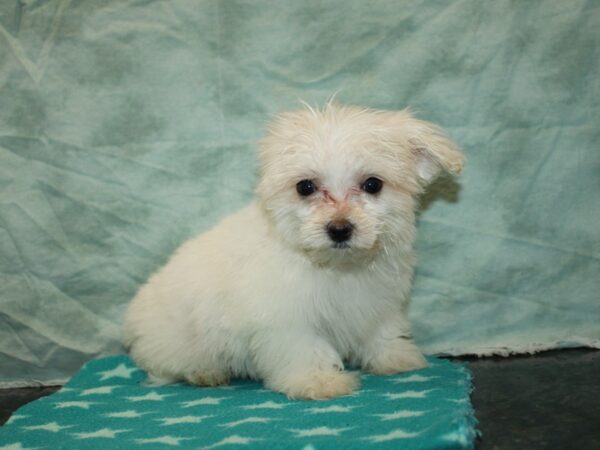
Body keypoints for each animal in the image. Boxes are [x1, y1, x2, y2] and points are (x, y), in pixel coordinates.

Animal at [120, 103, 460, 400]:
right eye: (305, 187)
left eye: (373, 184)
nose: (339, 229)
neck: (335, 266)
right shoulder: (286, 316)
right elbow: (303, 347)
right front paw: (318, 380)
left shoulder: (379, 301)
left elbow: (382, 329)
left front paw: (394, 357)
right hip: (175, 340)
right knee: (166, 368)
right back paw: (204, 373)